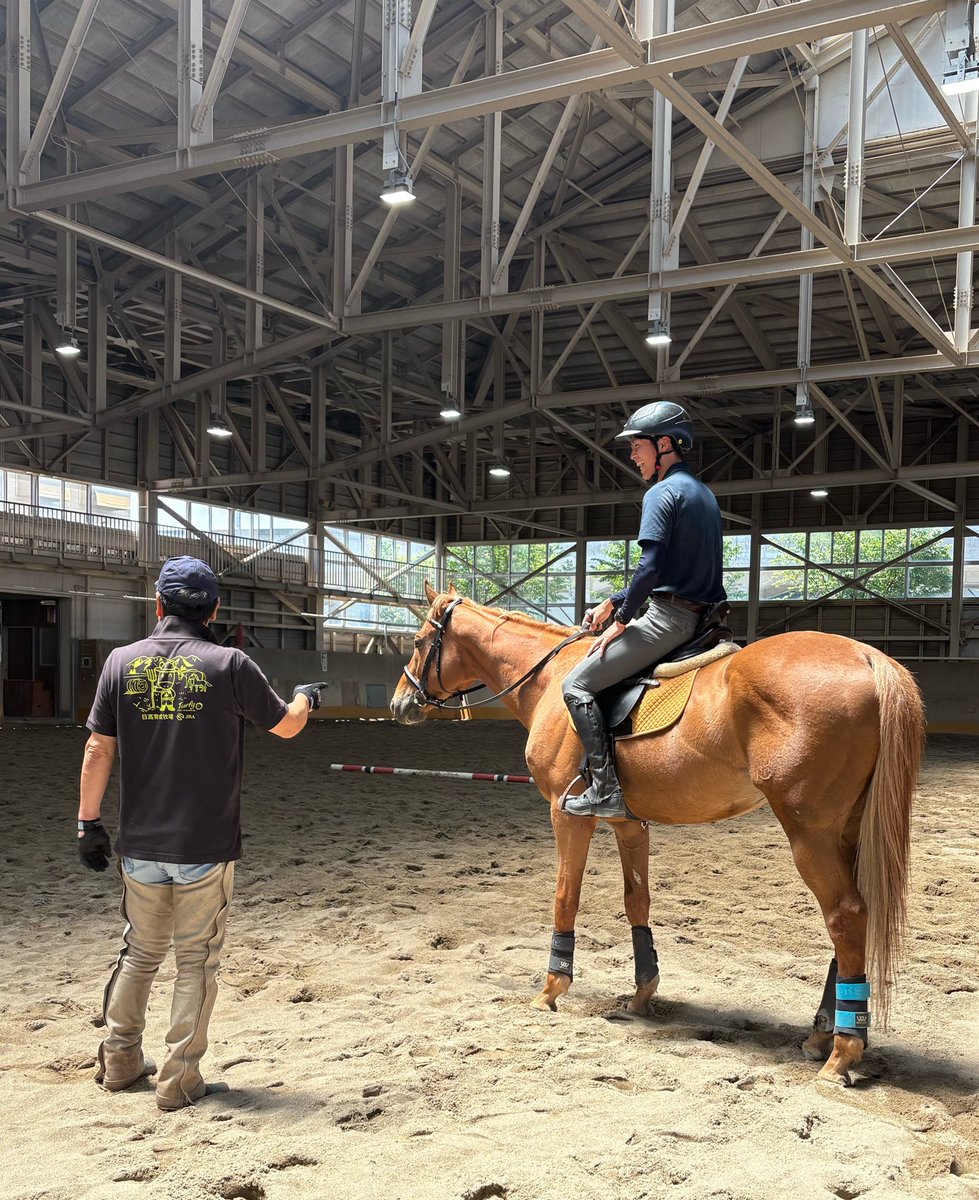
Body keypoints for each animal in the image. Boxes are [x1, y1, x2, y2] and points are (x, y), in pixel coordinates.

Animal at [390, 584, 924, 1086]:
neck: (551, 678)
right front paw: (642, 993)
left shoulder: (568, 816)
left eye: (417, 641)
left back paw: (843, 1052)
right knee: (849, 918)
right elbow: (637, 902)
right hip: (845, 830)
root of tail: (868, 656)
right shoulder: (630, 824)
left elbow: (566, 897)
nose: (400, 702)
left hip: (809, 832)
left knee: (846, 915)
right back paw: (821, 1035)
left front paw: (551, 989)